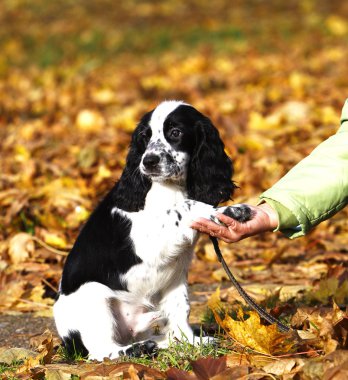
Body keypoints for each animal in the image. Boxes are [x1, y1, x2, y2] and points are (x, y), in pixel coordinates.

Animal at [53, 100, 250, 360]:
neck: (170, 188)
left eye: (175, 133)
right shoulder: (148, 244)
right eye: (144, 137)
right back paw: (135, 349)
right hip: (93, 294)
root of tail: (68, 342)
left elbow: (181, 309)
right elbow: (186, 206)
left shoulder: (177, 274)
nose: (148, 161)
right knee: (99, 351)